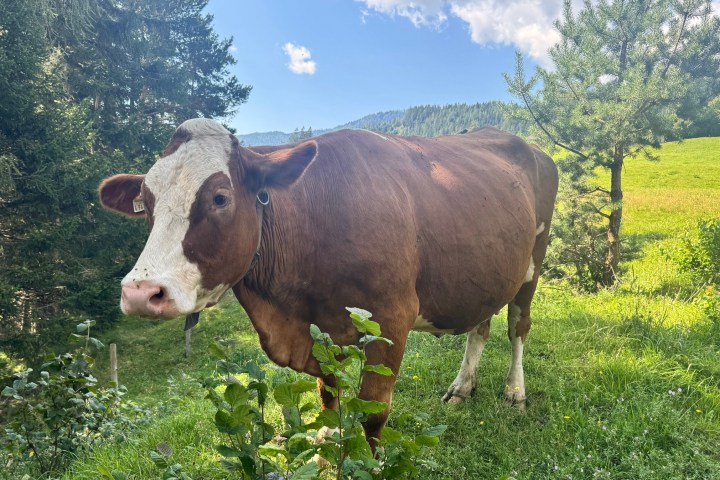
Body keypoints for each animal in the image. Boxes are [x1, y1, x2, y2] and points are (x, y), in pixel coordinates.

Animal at [99, 118, 558, 446]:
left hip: (533, 262)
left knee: (518, 325)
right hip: (488, 271)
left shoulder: (392, 320)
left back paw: (515, 392)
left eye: (220, 198)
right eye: (145, 203)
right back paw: (462, 387)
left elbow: (373, 413)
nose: (140, 293)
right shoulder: (320, 328)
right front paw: (329, 442)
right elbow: (329, 399)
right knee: (481, 325)